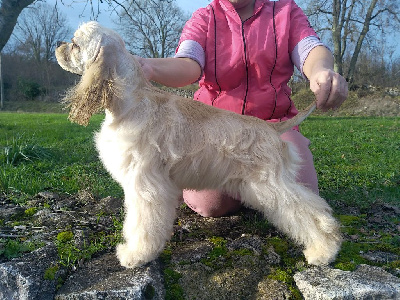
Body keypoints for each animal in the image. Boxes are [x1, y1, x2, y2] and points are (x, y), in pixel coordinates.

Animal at [55, 22, 340, 268]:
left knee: (310, 212)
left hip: (271, 183)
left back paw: (324, 250)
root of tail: (271, 128)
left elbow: (142, 224)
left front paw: (136, 255)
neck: (131, 101)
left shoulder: (145, 185)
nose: (58, 44)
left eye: (75, 44)